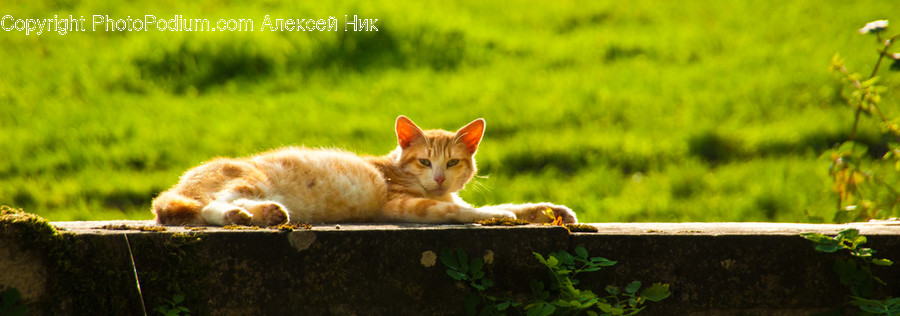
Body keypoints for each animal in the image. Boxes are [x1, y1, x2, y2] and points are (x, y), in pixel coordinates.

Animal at [151, 115, 576, 225]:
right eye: (425, 161)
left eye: (453, 162)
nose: (439, 177)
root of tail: (175, 186)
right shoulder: (399, 204)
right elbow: (457, 211)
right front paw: (499, 217)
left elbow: (505, 205)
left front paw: (550, 211)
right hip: (248, 180)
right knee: (210, 208)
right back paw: (240, 215)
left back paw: (264, 215)